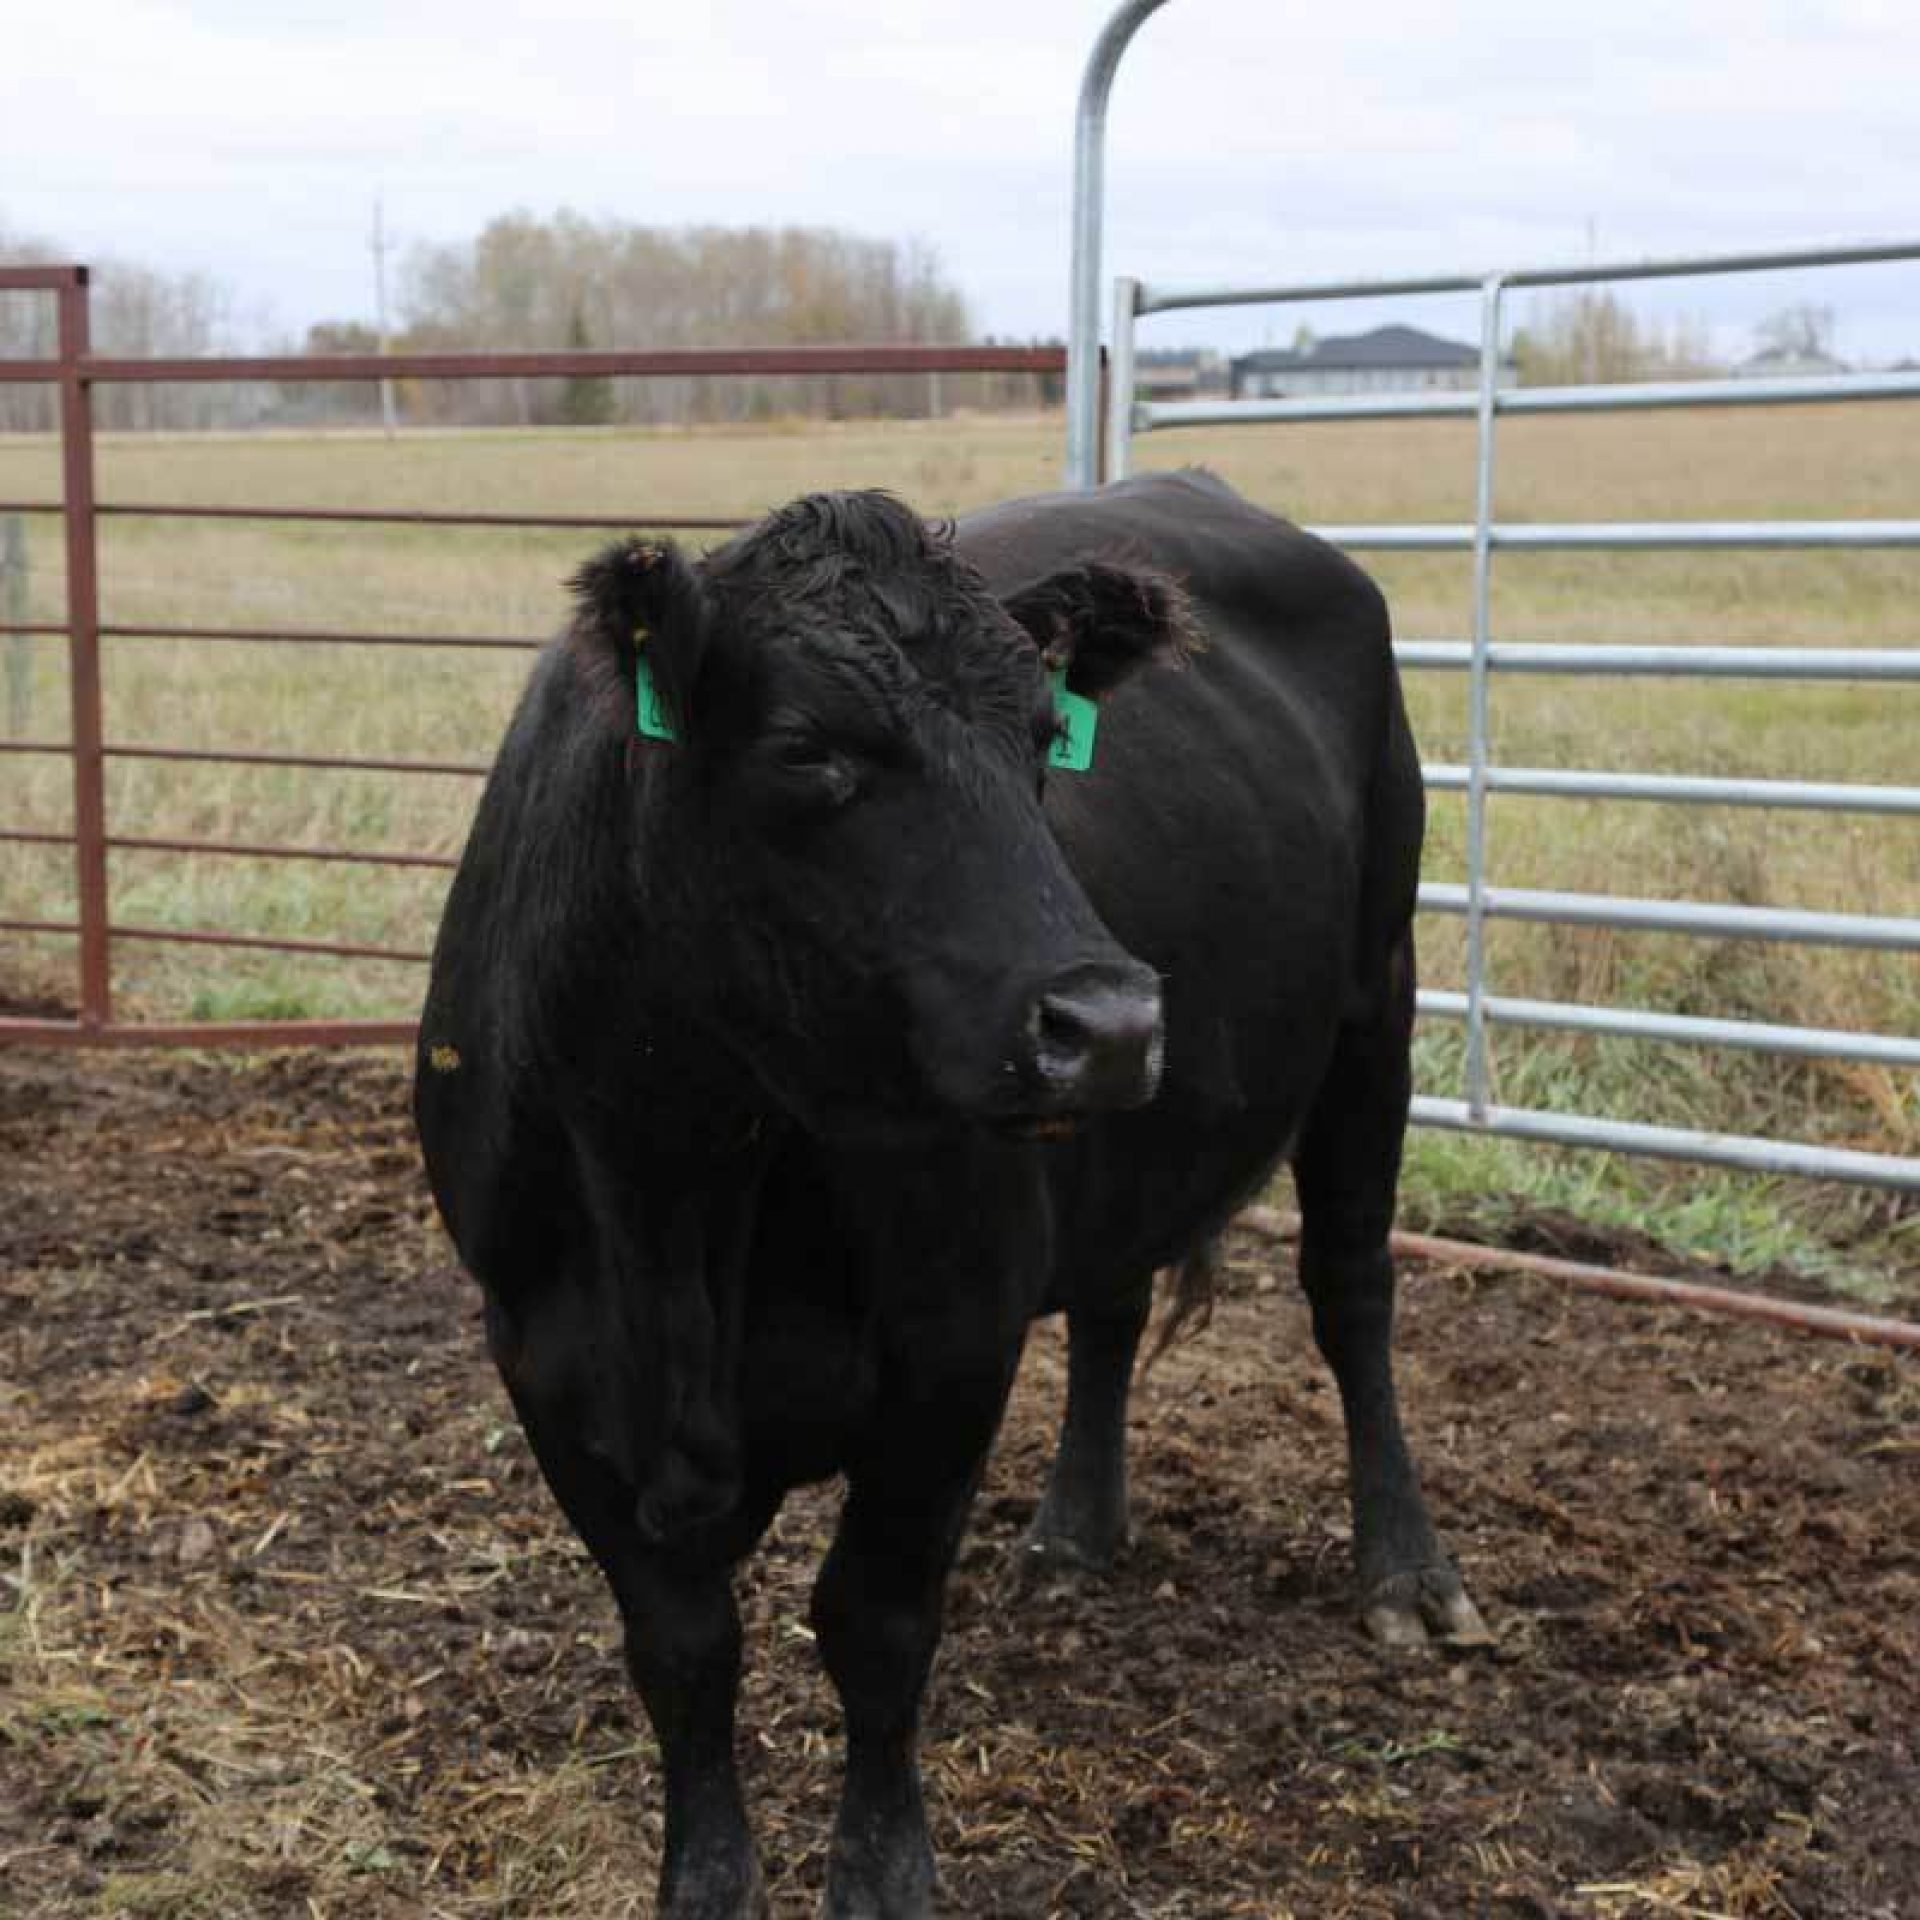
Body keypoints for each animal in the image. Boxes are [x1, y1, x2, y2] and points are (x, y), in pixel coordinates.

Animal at [408, 476, 1482, 1920]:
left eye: (1043, 740)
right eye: (806, 748)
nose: (1113, 1023)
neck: (682, 1187)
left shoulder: (953, 1346)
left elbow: (875, 1624)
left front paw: (881, 1877)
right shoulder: (543, 1362)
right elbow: (682, 1646)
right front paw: (706, 1879)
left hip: (1380, 996)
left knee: (1352, 1294)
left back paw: (1407, 1573)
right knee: (1113, 1302)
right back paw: (1076, 1530)